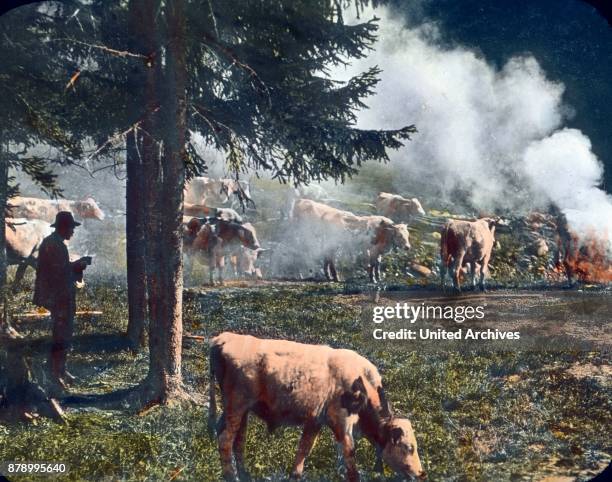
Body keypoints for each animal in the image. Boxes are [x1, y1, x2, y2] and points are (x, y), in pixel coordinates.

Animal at [209, 332, 426, 482]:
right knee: (225, 440)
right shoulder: (342, 424)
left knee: (238, 442)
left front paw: (295, 475)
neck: (362, 382)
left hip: (241, 411)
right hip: (236, 407)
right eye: (409, 447)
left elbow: (303, 450)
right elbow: (349, 457)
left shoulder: (315, 421)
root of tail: (224, 338)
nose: (421, 473)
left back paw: (245, 475)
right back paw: (232, 477)